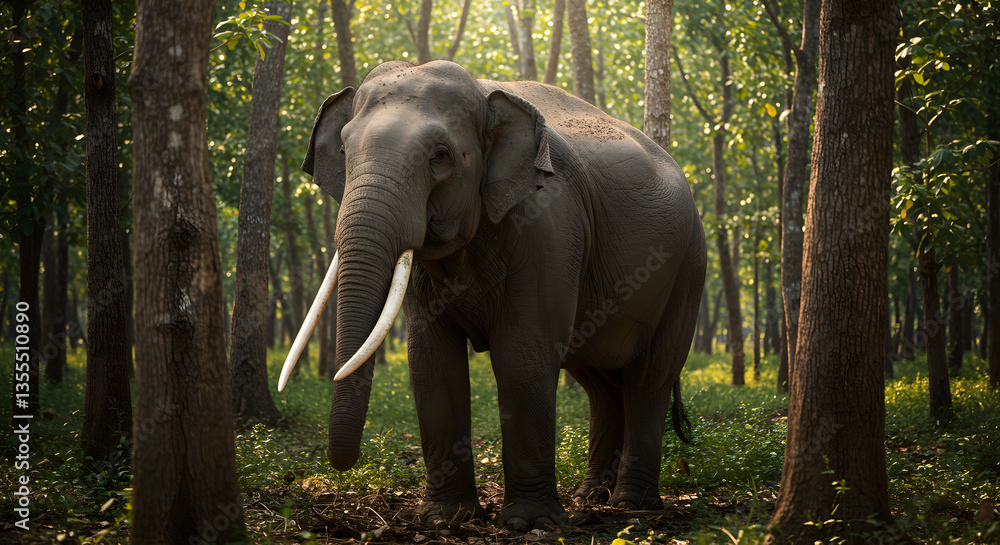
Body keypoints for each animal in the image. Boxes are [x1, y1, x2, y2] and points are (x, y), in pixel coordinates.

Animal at [278, 60, 706, 531]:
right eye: (344, 149)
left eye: (440, 156)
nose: (341, 463)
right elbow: (431, 361)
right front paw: (444, 517)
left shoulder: (549, 225)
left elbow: (522, 354)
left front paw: (527, 523)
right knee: (599, 382)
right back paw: (591, 495)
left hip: (689, 268)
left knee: (650, 376)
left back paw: (632, 504)